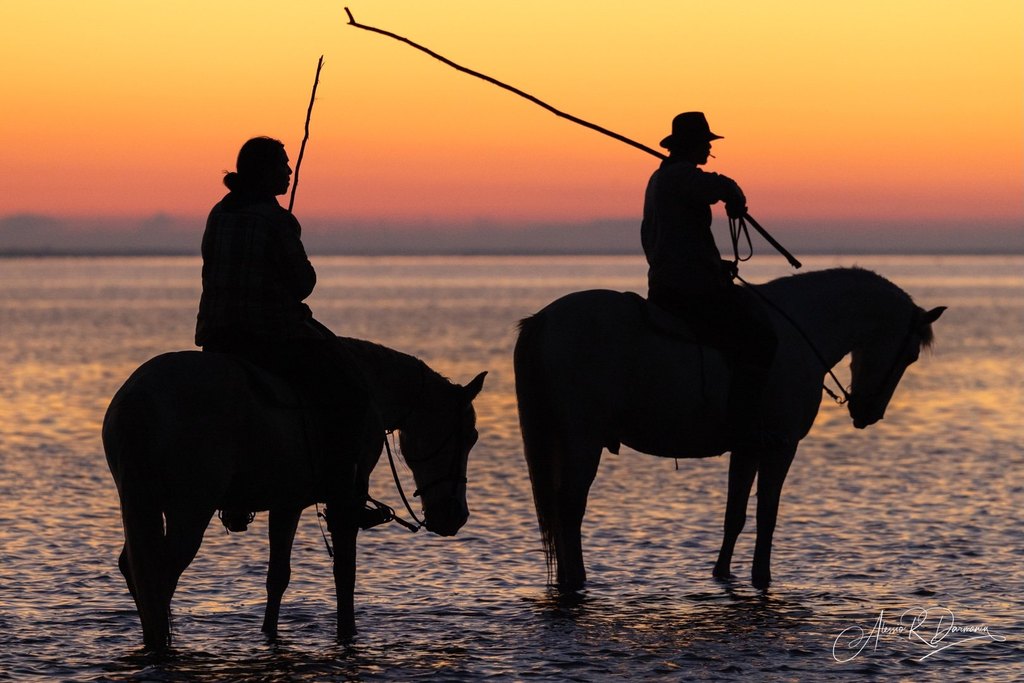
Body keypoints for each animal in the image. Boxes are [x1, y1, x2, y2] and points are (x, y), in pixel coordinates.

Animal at [103, 336, 486, 651]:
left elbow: (278, 577)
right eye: (470, 436)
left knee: (136, 568)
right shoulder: (344, 499)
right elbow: (345, 572)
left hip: (142, 502)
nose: (455, 516)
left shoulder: (286, 503)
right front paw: (347, 633)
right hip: (190, 509)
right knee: (161, 573)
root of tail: (140, 397)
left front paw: (269, 635)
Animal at [513, 267, 945, 592]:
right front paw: (762, 578)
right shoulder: (781, 445)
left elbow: (734, 514)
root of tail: (544, 320)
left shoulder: (747, 446)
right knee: (570, 507)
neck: (799, 332)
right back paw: (578, 580)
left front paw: (721, 575)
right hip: (581, 440)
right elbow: (767, 513)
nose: (868, 413)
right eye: (909, 355)